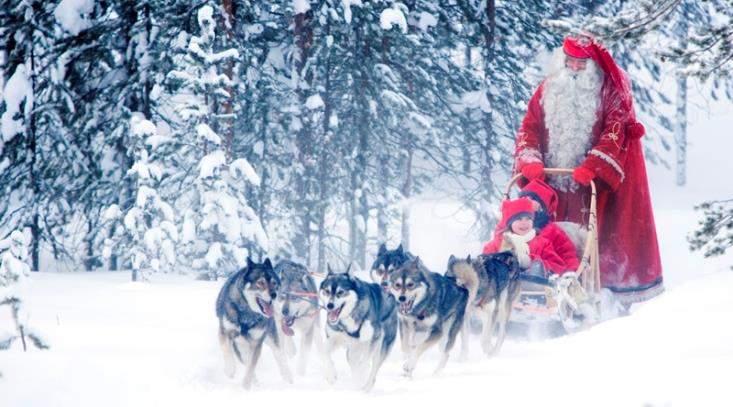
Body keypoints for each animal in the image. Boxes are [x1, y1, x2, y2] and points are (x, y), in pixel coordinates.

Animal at [214, 258, 292, 388]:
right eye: (260, 282)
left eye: (274, 283)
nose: (274, 294)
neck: (247, 314)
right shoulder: (225, 333)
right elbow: (227, 352)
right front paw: (230, 370)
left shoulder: (256, 343)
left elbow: (251, 367)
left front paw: (246, 386)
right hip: (240, 348)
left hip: (270, 339)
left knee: (280, 357)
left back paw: (288, 378)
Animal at [318, 264, 398, 392]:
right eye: (327, 291)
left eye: (341, 292)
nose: (330, 305)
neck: (351, 314)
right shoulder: (334, 338)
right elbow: (323, 353)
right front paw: (330, 374)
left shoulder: (374, 339)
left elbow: (364, 363)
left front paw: (361, 374)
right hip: (352, 351)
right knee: (354, 363)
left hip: (381, 348)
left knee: (372, 369)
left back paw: (366, 387)